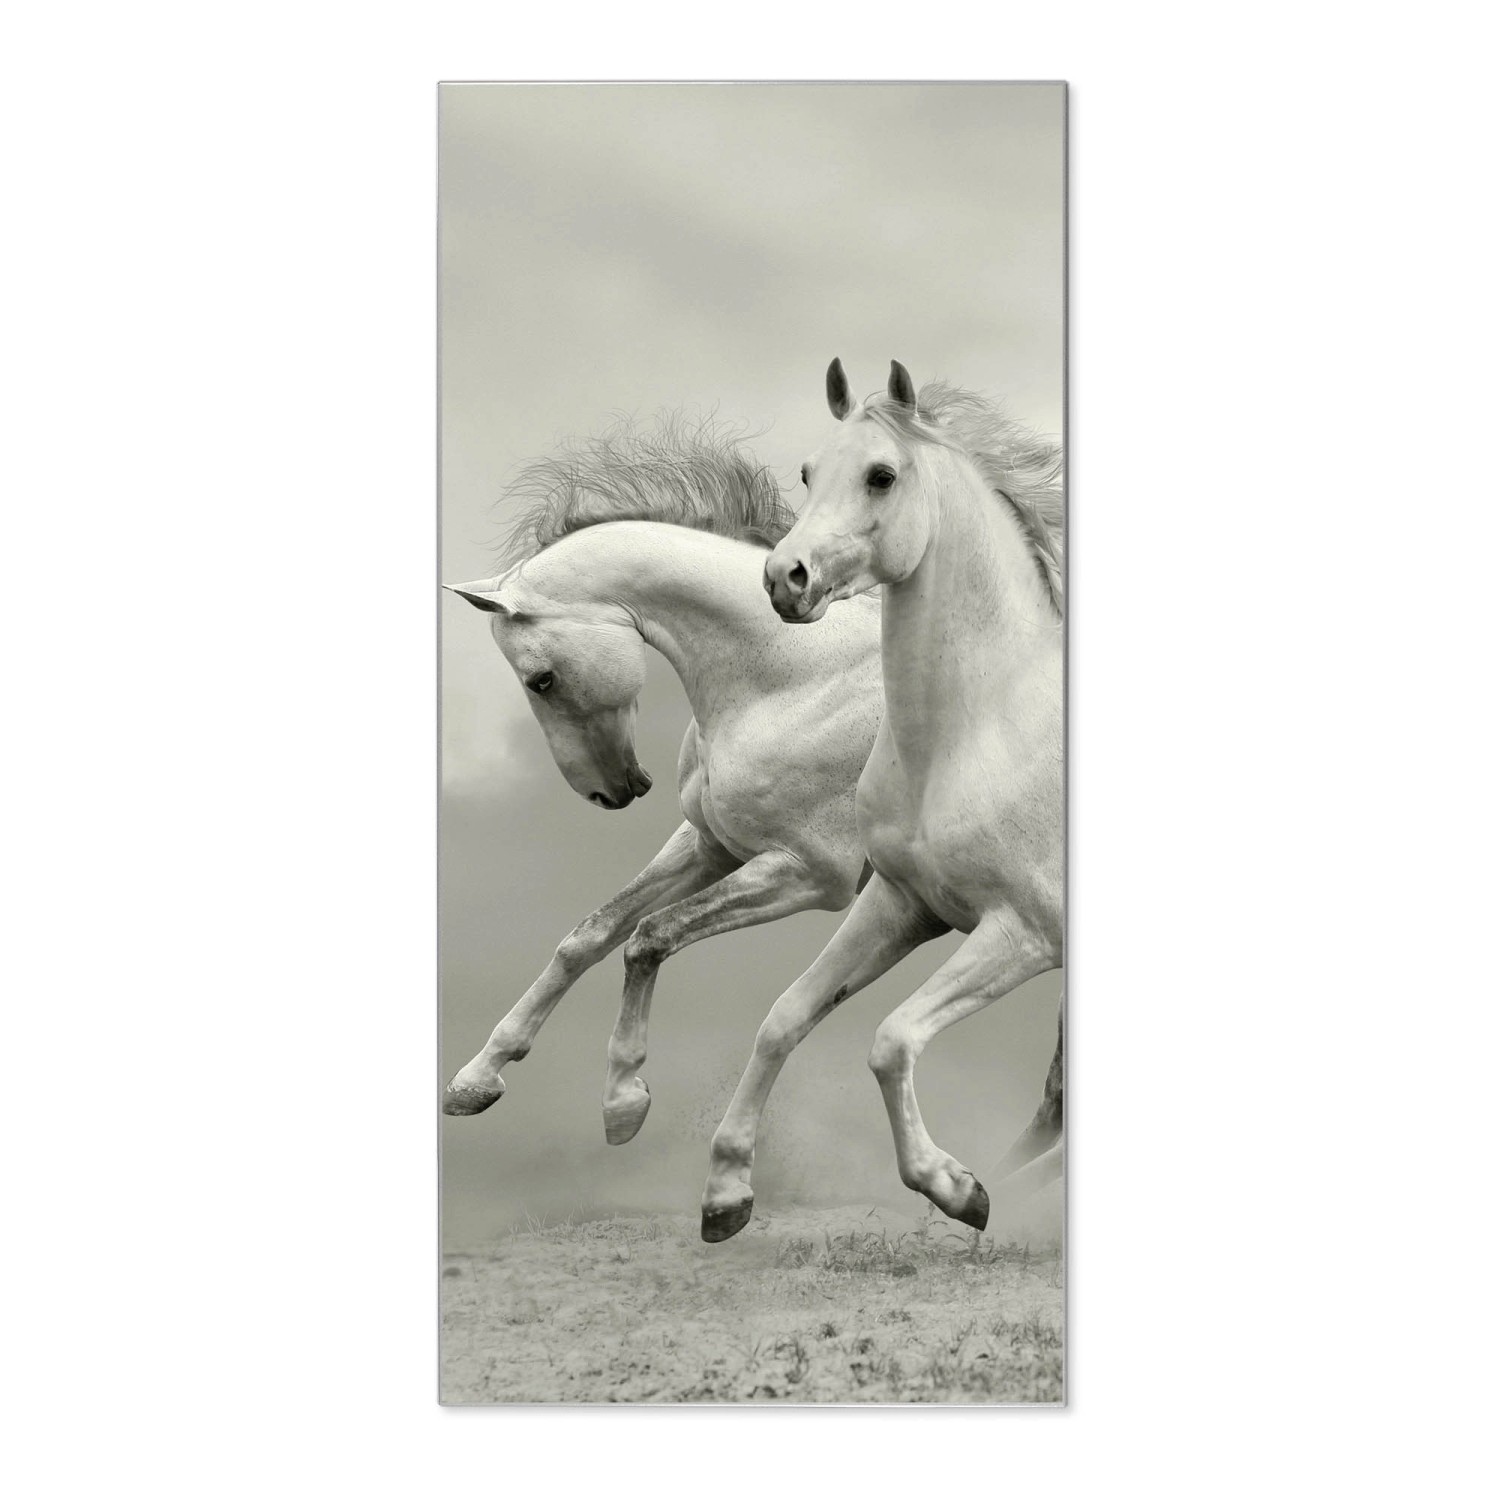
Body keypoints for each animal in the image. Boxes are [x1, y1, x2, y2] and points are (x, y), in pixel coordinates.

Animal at [443, 416, 885, 1145]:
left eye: (542, 680)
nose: (612, 791)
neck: (798, 677)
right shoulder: (713, 845)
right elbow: (590, 935)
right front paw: (477, 1077)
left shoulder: (811, 874)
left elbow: (650, 938)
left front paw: (623, 1101)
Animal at [701, 360, 1065, 1242]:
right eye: (807, 472)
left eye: (881, 475)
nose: (783, 578)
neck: (977, 731)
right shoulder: (903, 904)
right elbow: (785, 1017)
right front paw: (725, 1194)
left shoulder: (1023, 932)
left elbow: (891, 1041)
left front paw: (957, 1189)